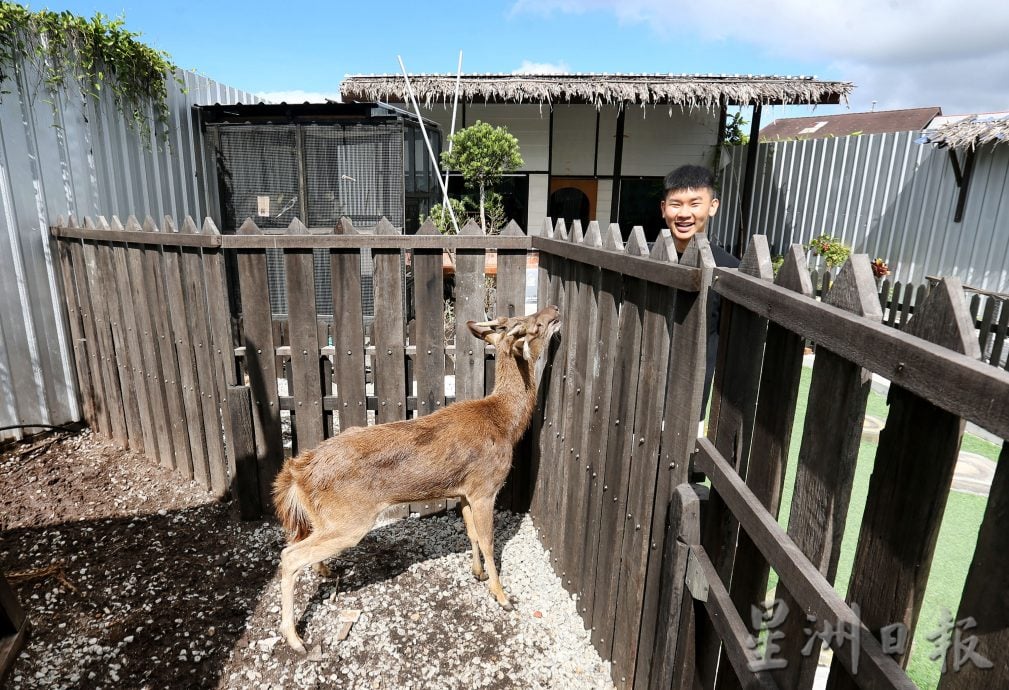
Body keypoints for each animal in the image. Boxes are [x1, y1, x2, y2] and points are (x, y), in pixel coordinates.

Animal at [272, 302, 565, 653]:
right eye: (533, 326)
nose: (554, 309)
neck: (504, 424)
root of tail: (297, 470)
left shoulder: (464, 492)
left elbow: (471, 534)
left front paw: (477, 573)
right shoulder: (485, 487)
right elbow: (489, 541)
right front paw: (502, 595)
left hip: (325, 519)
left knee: (299, 543)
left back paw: (326, 572)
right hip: (348, 521)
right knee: (289, 556)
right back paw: (295, 638)